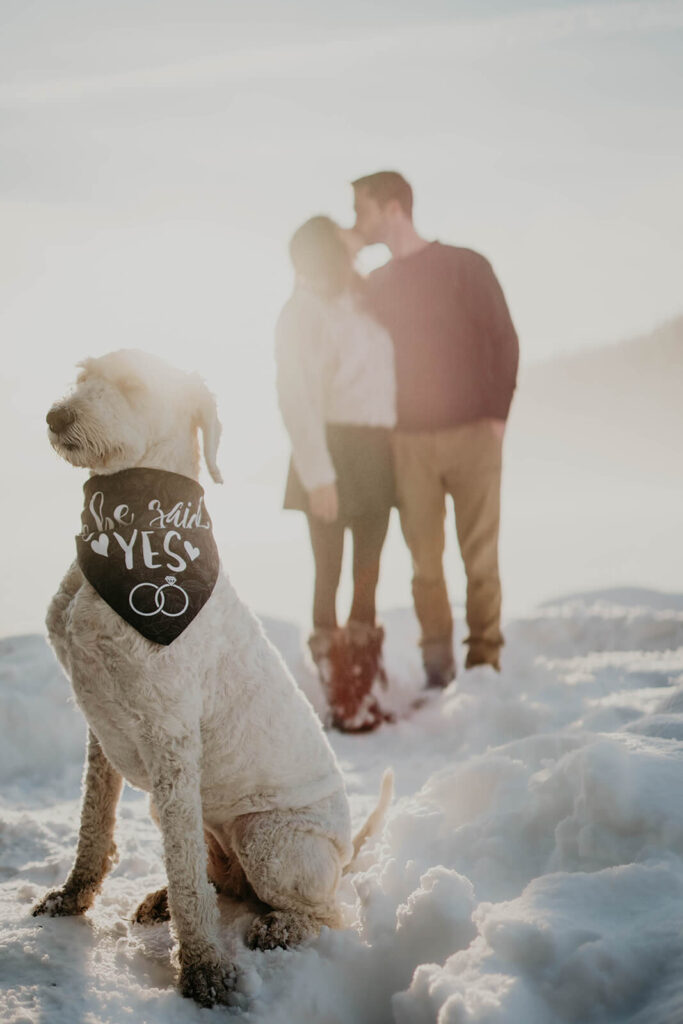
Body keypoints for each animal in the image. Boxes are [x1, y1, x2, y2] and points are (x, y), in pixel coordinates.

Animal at [34, 352, 393, 1007]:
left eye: (133, 384)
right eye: (84, 371)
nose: (57, 415)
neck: (139, 526)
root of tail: (344, 851)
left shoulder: (171, 735)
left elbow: (185, 879)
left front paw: (203, 968)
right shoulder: (101, 730)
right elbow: (94, 826)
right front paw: (72, 897)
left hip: (269, 839)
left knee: (326, 911)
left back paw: (281, 926)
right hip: (193, 820)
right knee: (216, 881)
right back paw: (160, 901)